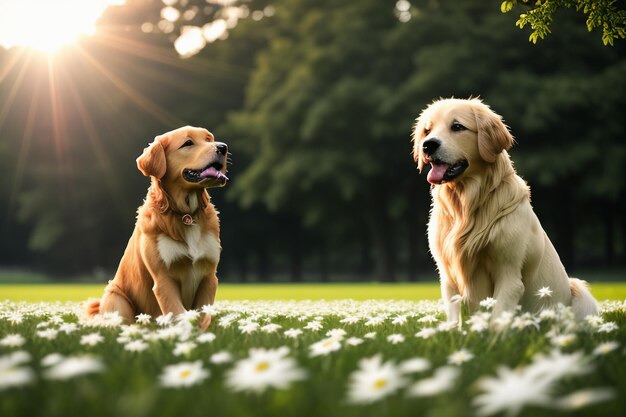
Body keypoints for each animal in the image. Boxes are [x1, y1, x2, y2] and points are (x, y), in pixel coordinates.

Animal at [84, 124, 227, 328]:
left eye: (209, 139)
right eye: (188, 143)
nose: (223, 147)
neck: (185, 214)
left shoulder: (209, 276)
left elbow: (201, 317)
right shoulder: (163, 278)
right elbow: (178, 314)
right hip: (117, 299)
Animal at [412, 97, 596, 322]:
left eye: (457, 126)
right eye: (427, 130)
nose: (427, 145)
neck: (467, 203)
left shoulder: (509, 273)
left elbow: (496, 319)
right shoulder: (448, 276)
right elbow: (455, 320)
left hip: (580, 293)